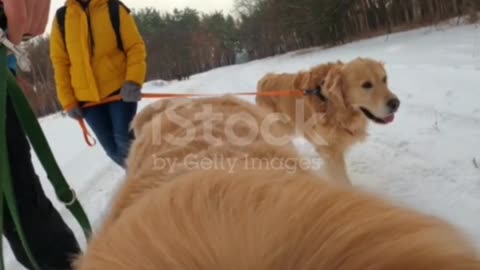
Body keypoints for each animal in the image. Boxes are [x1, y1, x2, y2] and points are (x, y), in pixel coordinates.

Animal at [256, 56, 400, 184]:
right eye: (366, 85)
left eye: (384, 79)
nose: (396, 103)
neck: (332, 106)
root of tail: (263, 80)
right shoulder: (331, 152)